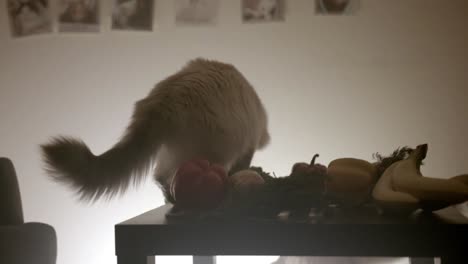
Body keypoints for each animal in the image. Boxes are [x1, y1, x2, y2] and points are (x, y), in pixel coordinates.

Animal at [42, 58, 272, 202]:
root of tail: (163, 99)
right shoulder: (246, 146)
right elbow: (242, 165)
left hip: (172, 152)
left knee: (160, 176)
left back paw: (170, 198)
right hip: (210, 153)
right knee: (171, 176)